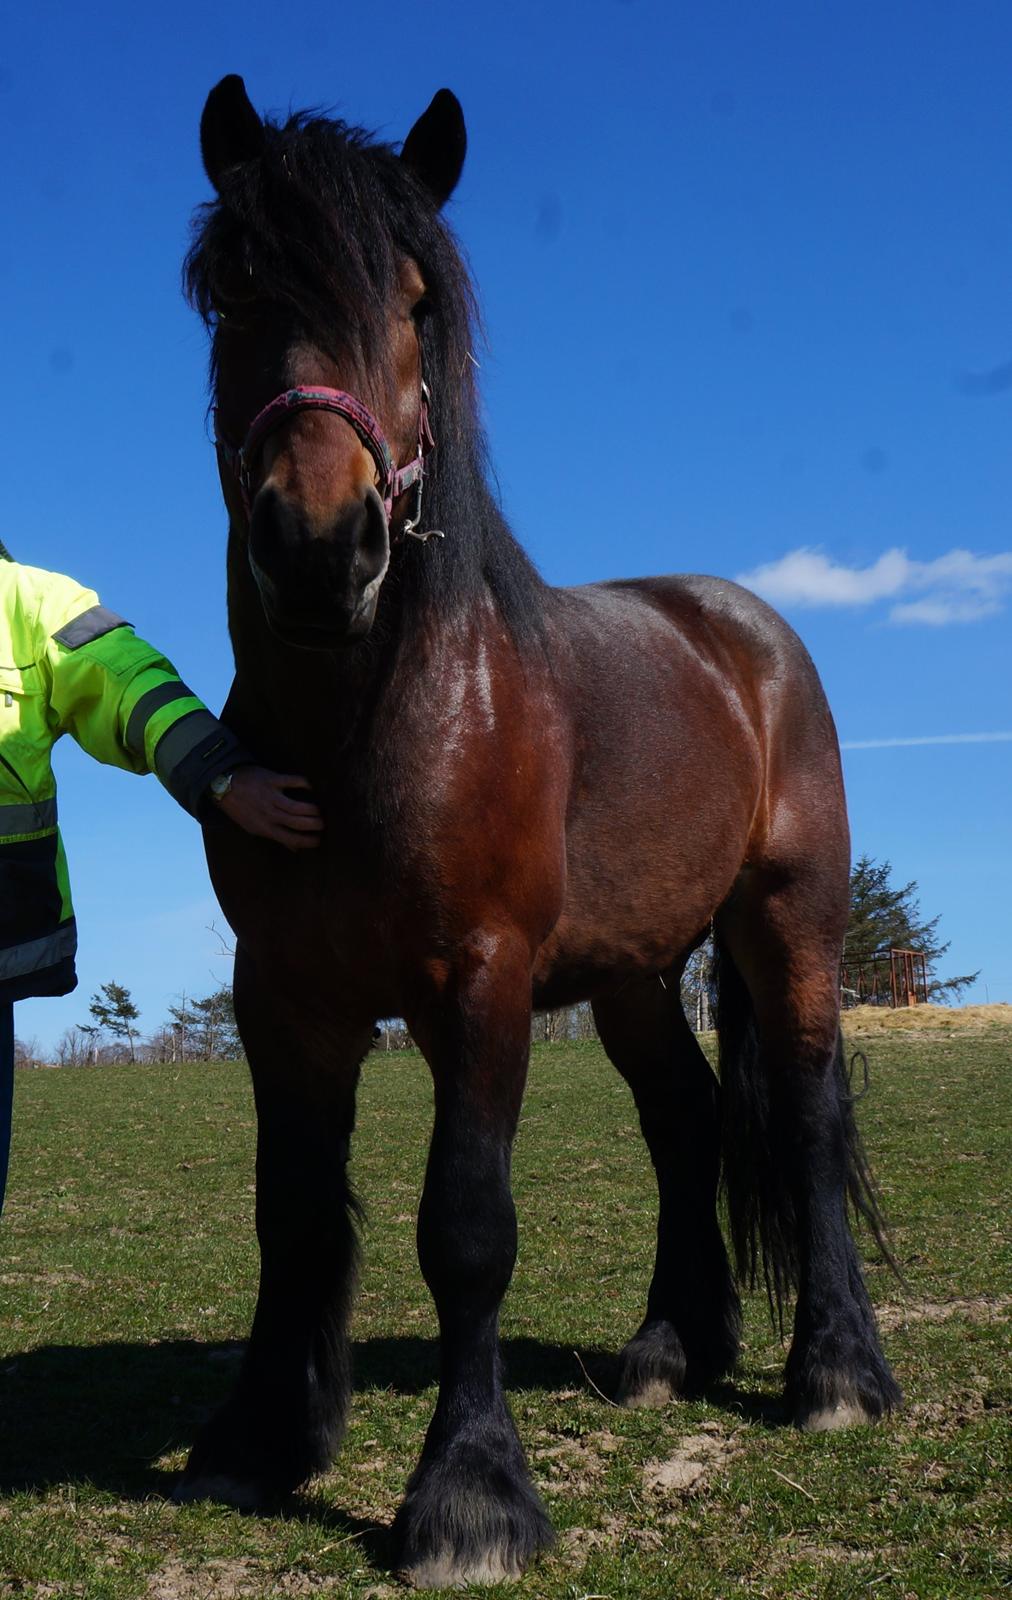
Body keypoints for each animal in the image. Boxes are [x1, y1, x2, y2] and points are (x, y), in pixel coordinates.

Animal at [176, 78, 903, 1587]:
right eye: (233, 289)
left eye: (414, 302)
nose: (320, 550)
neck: (377, 718)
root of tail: (745, 626)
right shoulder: (284, 996)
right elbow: (292, 1211)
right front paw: (261, 1438)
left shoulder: (483, 980)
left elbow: (466, 1227)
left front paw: (470, 1497)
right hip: (633, 972)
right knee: (687, 1117)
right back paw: (672, 1350)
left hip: (787, 926)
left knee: (806, 1115)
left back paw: (836, 1377)